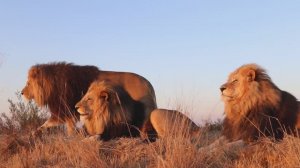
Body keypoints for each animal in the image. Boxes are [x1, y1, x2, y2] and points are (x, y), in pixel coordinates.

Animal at [21, 61, 157, 136]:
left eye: (28, 83)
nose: (22, 93)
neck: (53, 85)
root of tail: (148, 84)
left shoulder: (65, 111)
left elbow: (48, 124)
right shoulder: (67, 112)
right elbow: (47, 125)